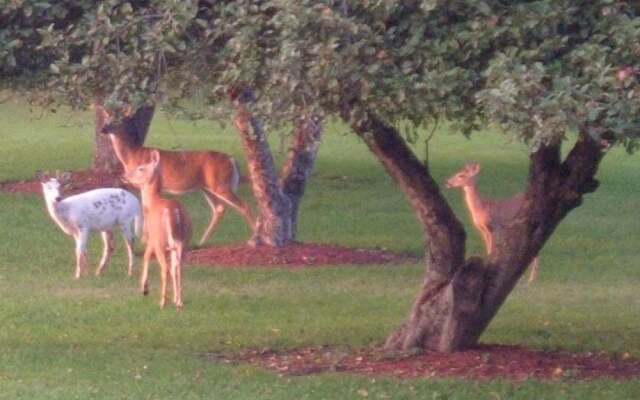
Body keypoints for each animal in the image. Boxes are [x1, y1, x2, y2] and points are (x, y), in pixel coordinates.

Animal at [97, 104, 252, 245]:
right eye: (107, 118)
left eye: (118, 120)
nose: (103, 129)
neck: (133, 156)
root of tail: (232, 160)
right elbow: (145, 207)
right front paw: (145, 239)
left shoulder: (148, 183)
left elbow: (146, 208)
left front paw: (145, 240)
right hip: (208, 187)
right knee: (219, 209)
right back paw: (201, 241)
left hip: (221, 184)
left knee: (243, 205)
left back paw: (251, 238)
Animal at [123, 150, 191, 310]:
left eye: (141, 168)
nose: (125, 176)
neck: (152, 203)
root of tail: (175, 213)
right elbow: (173, 267)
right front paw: (175, 299)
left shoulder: (151, 238)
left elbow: (146, 256)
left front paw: (144, 289)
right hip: (183, 241)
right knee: (178, 267)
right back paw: (179, 301)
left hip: (161, 240)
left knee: (165, 268)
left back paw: (162, 302)